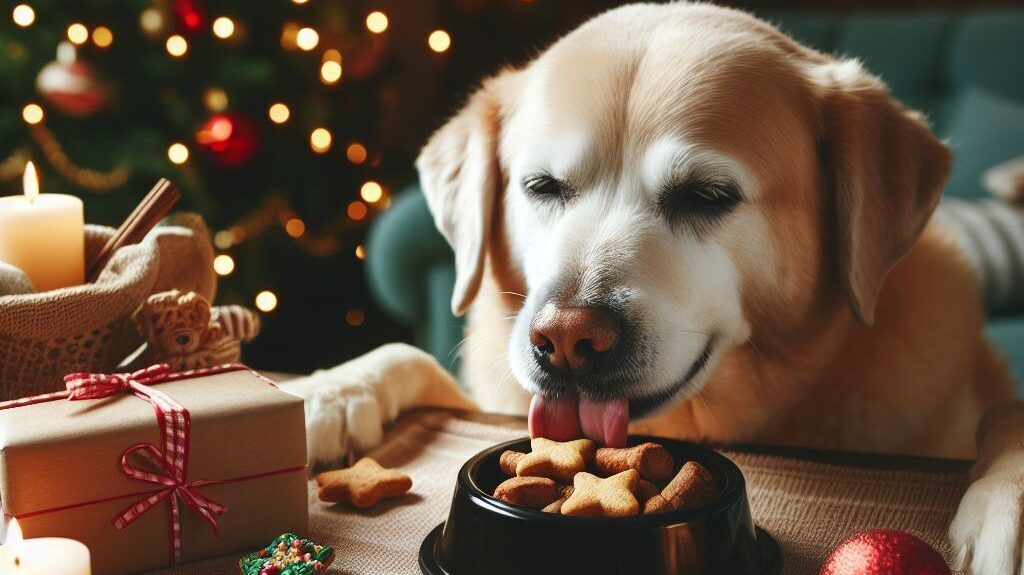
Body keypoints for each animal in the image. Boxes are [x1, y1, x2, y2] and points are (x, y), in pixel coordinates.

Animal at [278, 3, 1015, 568]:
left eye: (708, 196)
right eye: (541, 186)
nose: (565, 339)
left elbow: (1006, 416)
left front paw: (1003, 513)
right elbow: (408, 354)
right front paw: (327, 391)